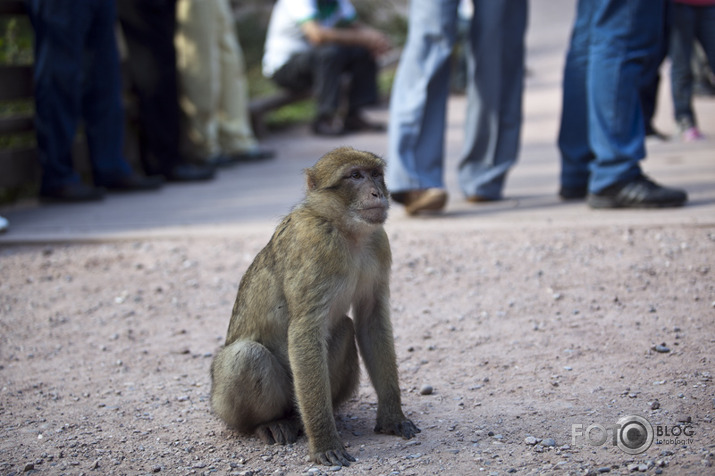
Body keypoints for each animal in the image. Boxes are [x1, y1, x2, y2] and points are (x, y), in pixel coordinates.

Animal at [210, 147, 420, 466]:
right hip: (226, 405)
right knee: (246, 356)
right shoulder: (316, 246)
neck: (345, 230)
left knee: (345, 326)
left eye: (375, 175)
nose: (377, 193)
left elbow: (371, 319)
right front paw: (324, 442)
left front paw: (392, 417)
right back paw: (270, 423)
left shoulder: (378, 243)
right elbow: (304, 331)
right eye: (355, 176)